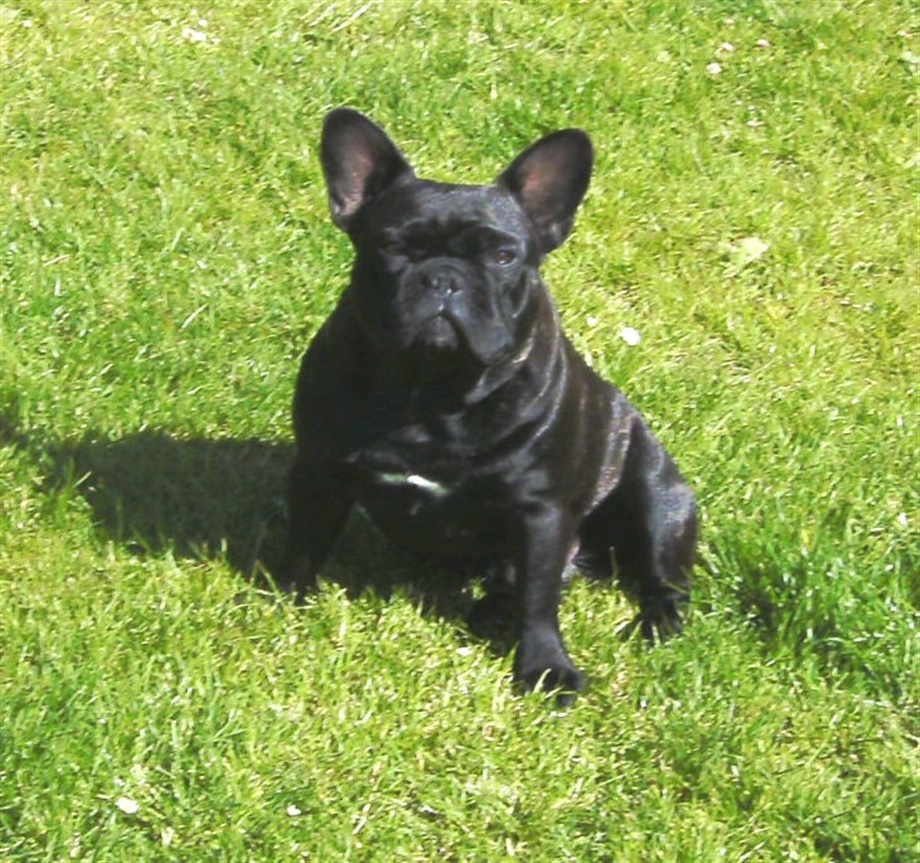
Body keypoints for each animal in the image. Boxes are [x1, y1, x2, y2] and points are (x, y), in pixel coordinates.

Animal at [285, 108, 696, 701]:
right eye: (391, 248)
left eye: (503, 257)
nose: (444, 277)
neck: (431, 389)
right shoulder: (319, 469)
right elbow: (305, 541)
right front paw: (283, 601)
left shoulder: (541, 513)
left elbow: (540, 601)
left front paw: (546, 667)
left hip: (658, 497)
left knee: (658, 576)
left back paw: (656, 621)